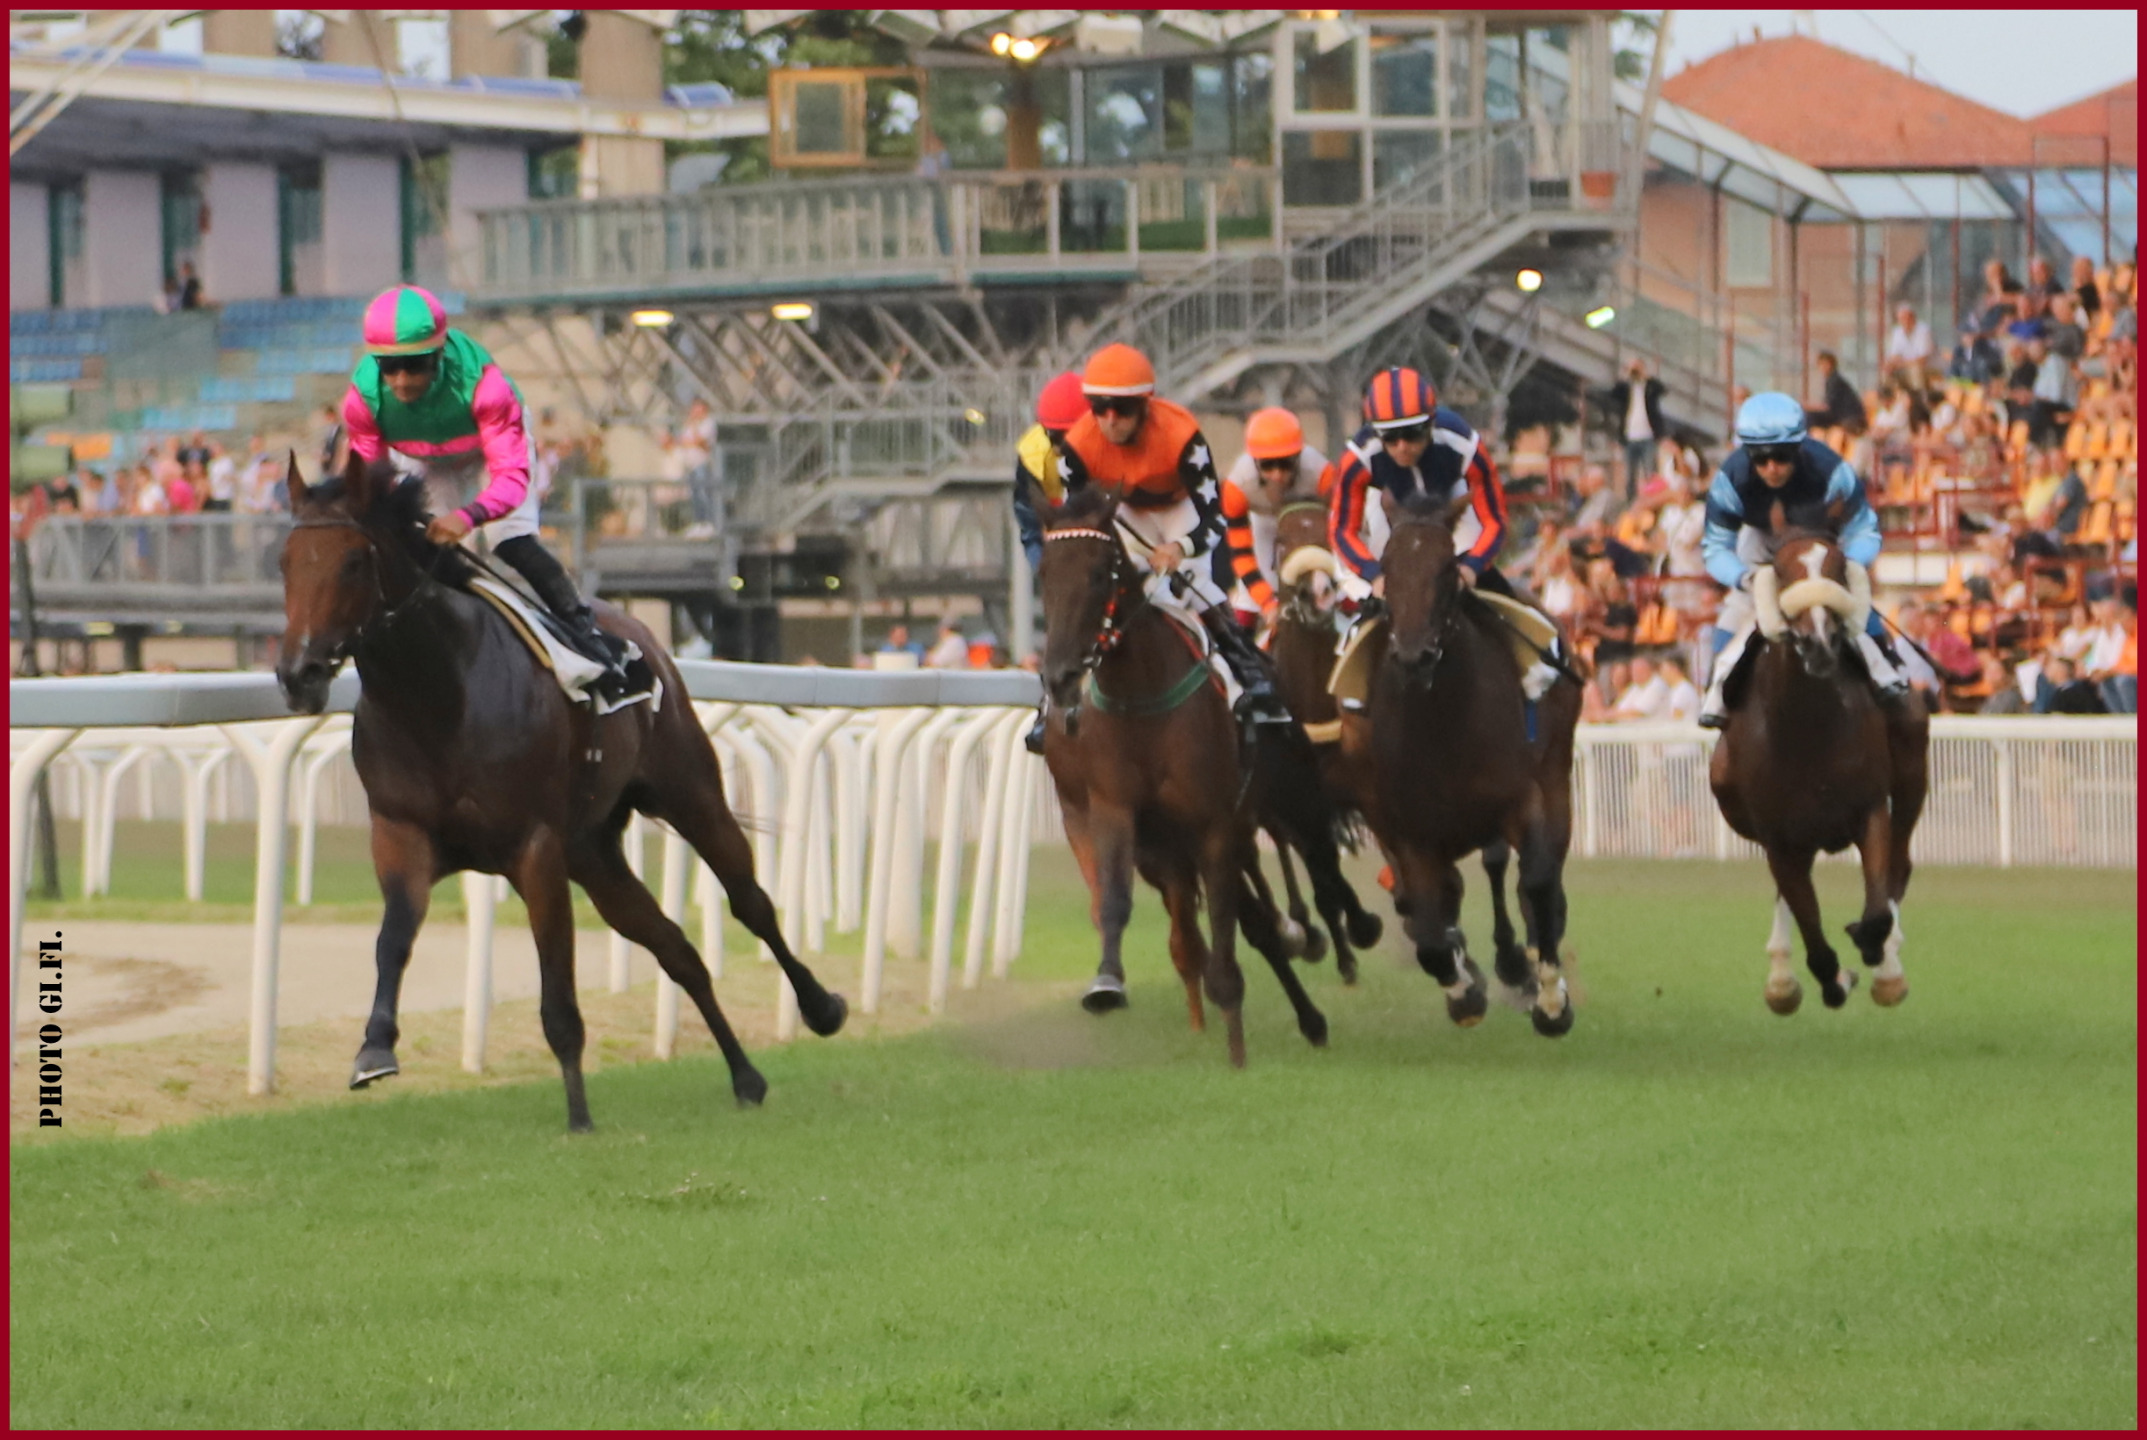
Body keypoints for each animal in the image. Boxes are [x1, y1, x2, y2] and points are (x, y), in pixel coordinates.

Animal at [281, 457, 850, 1133]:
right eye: (284, 562)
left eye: (352, 562)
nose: (297, 674)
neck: (438, 698)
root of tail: (636, 626)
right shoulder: (401, 834)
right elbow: (393, 939)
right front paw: (374, 1049)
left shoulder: (536, 849)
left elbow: (558, 990)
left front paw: (578, 1115)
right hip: (594, 854)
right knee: (677, 949)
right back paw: (745, 1076)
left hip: (689, 793)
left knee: (751, 903)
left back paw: (821, 1008)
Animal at [1034, 485, 1331, 1060]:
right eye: (1043, 576)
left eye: (1100, 572)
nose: (1059, 676)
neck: (1141, 696)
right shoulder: (1115, 809)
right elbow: (1115, 901)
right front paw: (1106, 983)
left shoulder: (1213, 823)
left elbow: (1228, 926)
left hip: (1275, 802)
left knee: (1298, 874)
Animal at [1348, 495, 1588, 1038]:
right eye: (1388, 567)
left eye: (1445, 569)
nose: (1415, 655)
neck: (1442, 723)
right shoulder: (1405, 830)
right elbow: (1430, 928)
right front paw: (1464, 994)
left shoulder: (1521, 799)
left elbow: (1536, 884)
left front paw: (1551, 1001)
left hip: (1554, 772)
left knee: (1531, 876)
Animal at [1709, 530, 1932, 1012]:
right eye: (1781, 572)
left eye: (1837, 568)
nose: (1819, 644)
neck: (1807, 727)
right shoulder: (1778, 836)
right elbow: (1815, 941)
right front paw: (1827, 980)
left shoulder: (1869, 810)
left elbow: (1877, 911)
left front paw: (1873, 952)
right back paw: (1781, 976)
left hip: (1911, 770)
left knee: (1900, 865)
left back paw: (1888, 966)